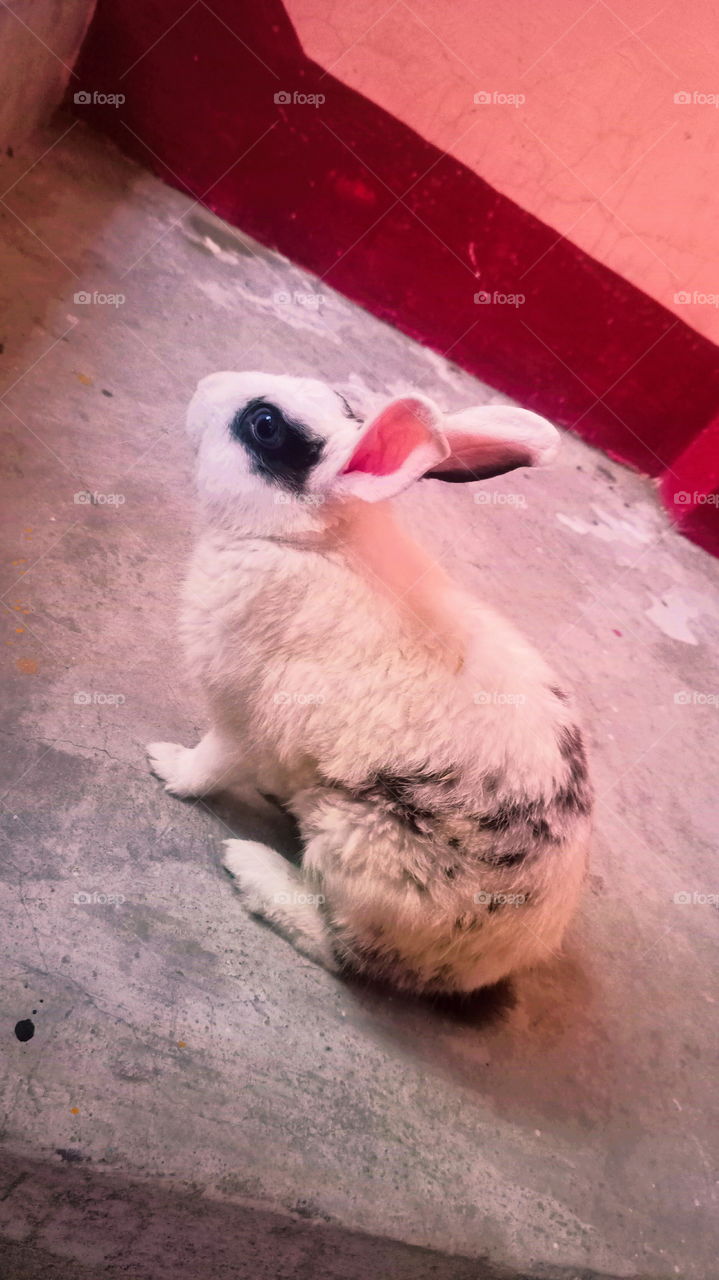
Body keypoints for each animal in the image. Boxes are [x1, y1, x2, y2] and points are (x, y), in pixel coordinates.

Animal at [147, 371, 592, 995]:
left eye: (265, 425)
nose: (207, 382)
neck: (309, 543)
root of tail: (506, 957)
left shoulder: (245, 722)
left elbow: (208, 766)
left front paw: (167, 766)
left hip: (362, 843)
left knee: (342, 952)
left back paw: (252, 867)